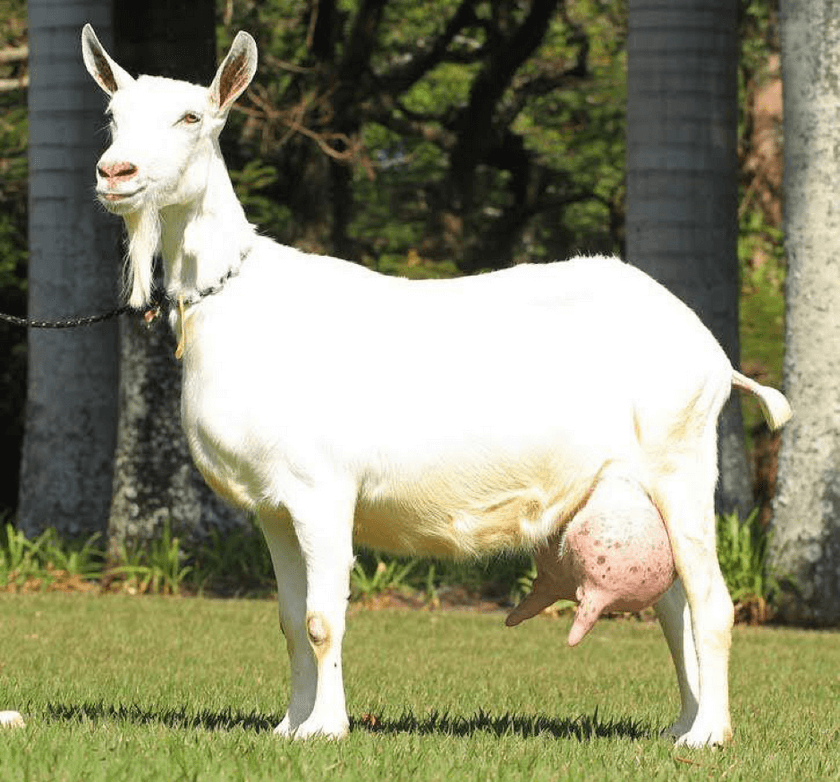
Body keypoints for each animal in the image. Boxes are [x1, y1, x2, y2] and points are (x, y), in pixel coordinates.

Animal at [82, 24, 792, 748]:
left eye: (192, 117)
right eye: (112, 116)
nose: (116, 173)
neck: (234, 298)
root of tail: (713, 357)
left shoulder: (321, 490)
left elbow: (322, 618)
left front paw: (326, 728)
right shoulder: (273, 507)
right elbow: (288, 620)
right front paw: (288, 726)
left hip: (682, 459)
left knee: (710, 600)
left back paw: (709, 736)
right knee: (673, 603)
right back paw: (682, 724)